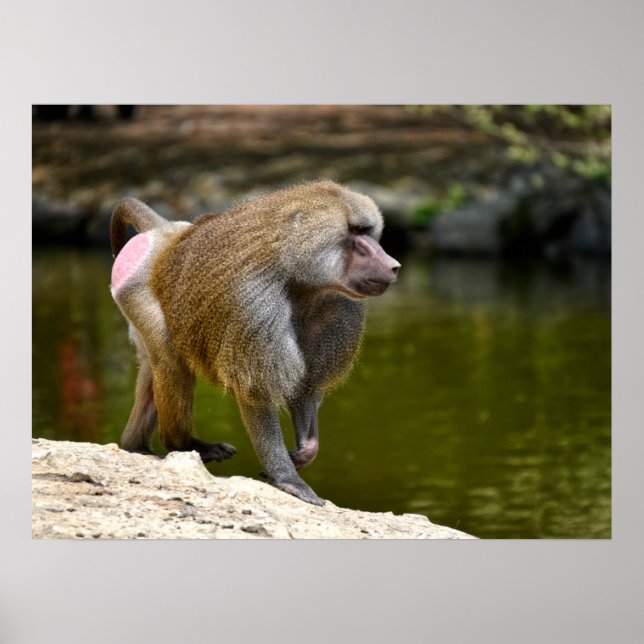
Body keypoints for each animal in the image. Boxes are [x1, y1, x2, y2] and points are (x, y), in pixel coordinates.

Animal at [110, 180, 400, 505]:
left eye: (367, 231)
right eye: (355, 232)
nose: (393, 266)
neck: (299, 280)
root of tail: (166, 233)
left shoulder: (337, 310)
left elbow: (306, 386)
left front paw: (302, 453)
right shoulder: (254, 304)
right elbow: (256, 392)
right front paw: (288, 478)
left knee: (155, 363)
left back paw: (136, 446)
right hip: (136, 286)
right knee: (169, 358)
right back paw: (181, 443)